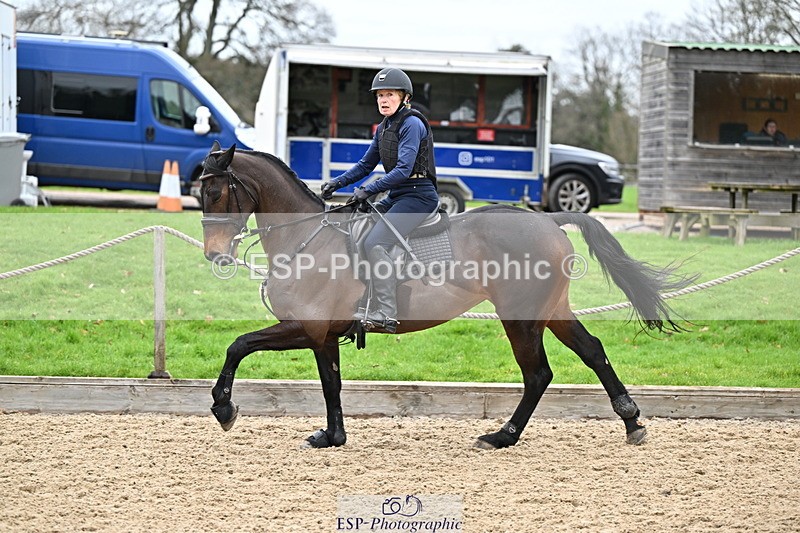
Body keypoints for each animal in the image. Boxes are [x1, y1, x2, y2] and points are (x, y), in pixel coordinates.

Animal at [199, 142, 693, 449]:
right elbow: (330, 383)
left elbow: (238, 345)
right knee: (592, 351)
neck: (307, 238)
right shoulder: (324, 335)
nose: (214, 255)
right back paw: (631, 420)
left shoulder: (307, 327)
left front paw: (224, 407)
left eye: (216, 191)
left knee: (538, 374)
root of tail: (548, 218)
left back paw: (503, 436)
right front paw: (332, 437)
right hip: (552, 310)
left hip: (520, 317)